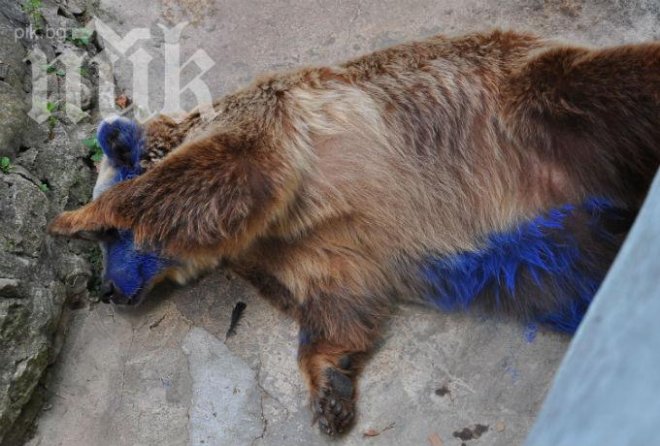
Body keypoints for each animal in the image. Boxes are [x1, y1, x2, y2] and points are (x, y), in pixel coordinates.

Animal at [49, 29, 656, 434]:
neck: (249, 236)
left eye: (111, 242)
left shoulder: (271, 136)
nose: (109, 289)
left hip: (527, 102)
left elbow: (217, 167)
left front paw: (71, 218)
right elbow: (337, 294)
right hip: (554, 245)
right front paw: (330, 388)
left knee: (603, 81)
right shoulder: (308, 241)